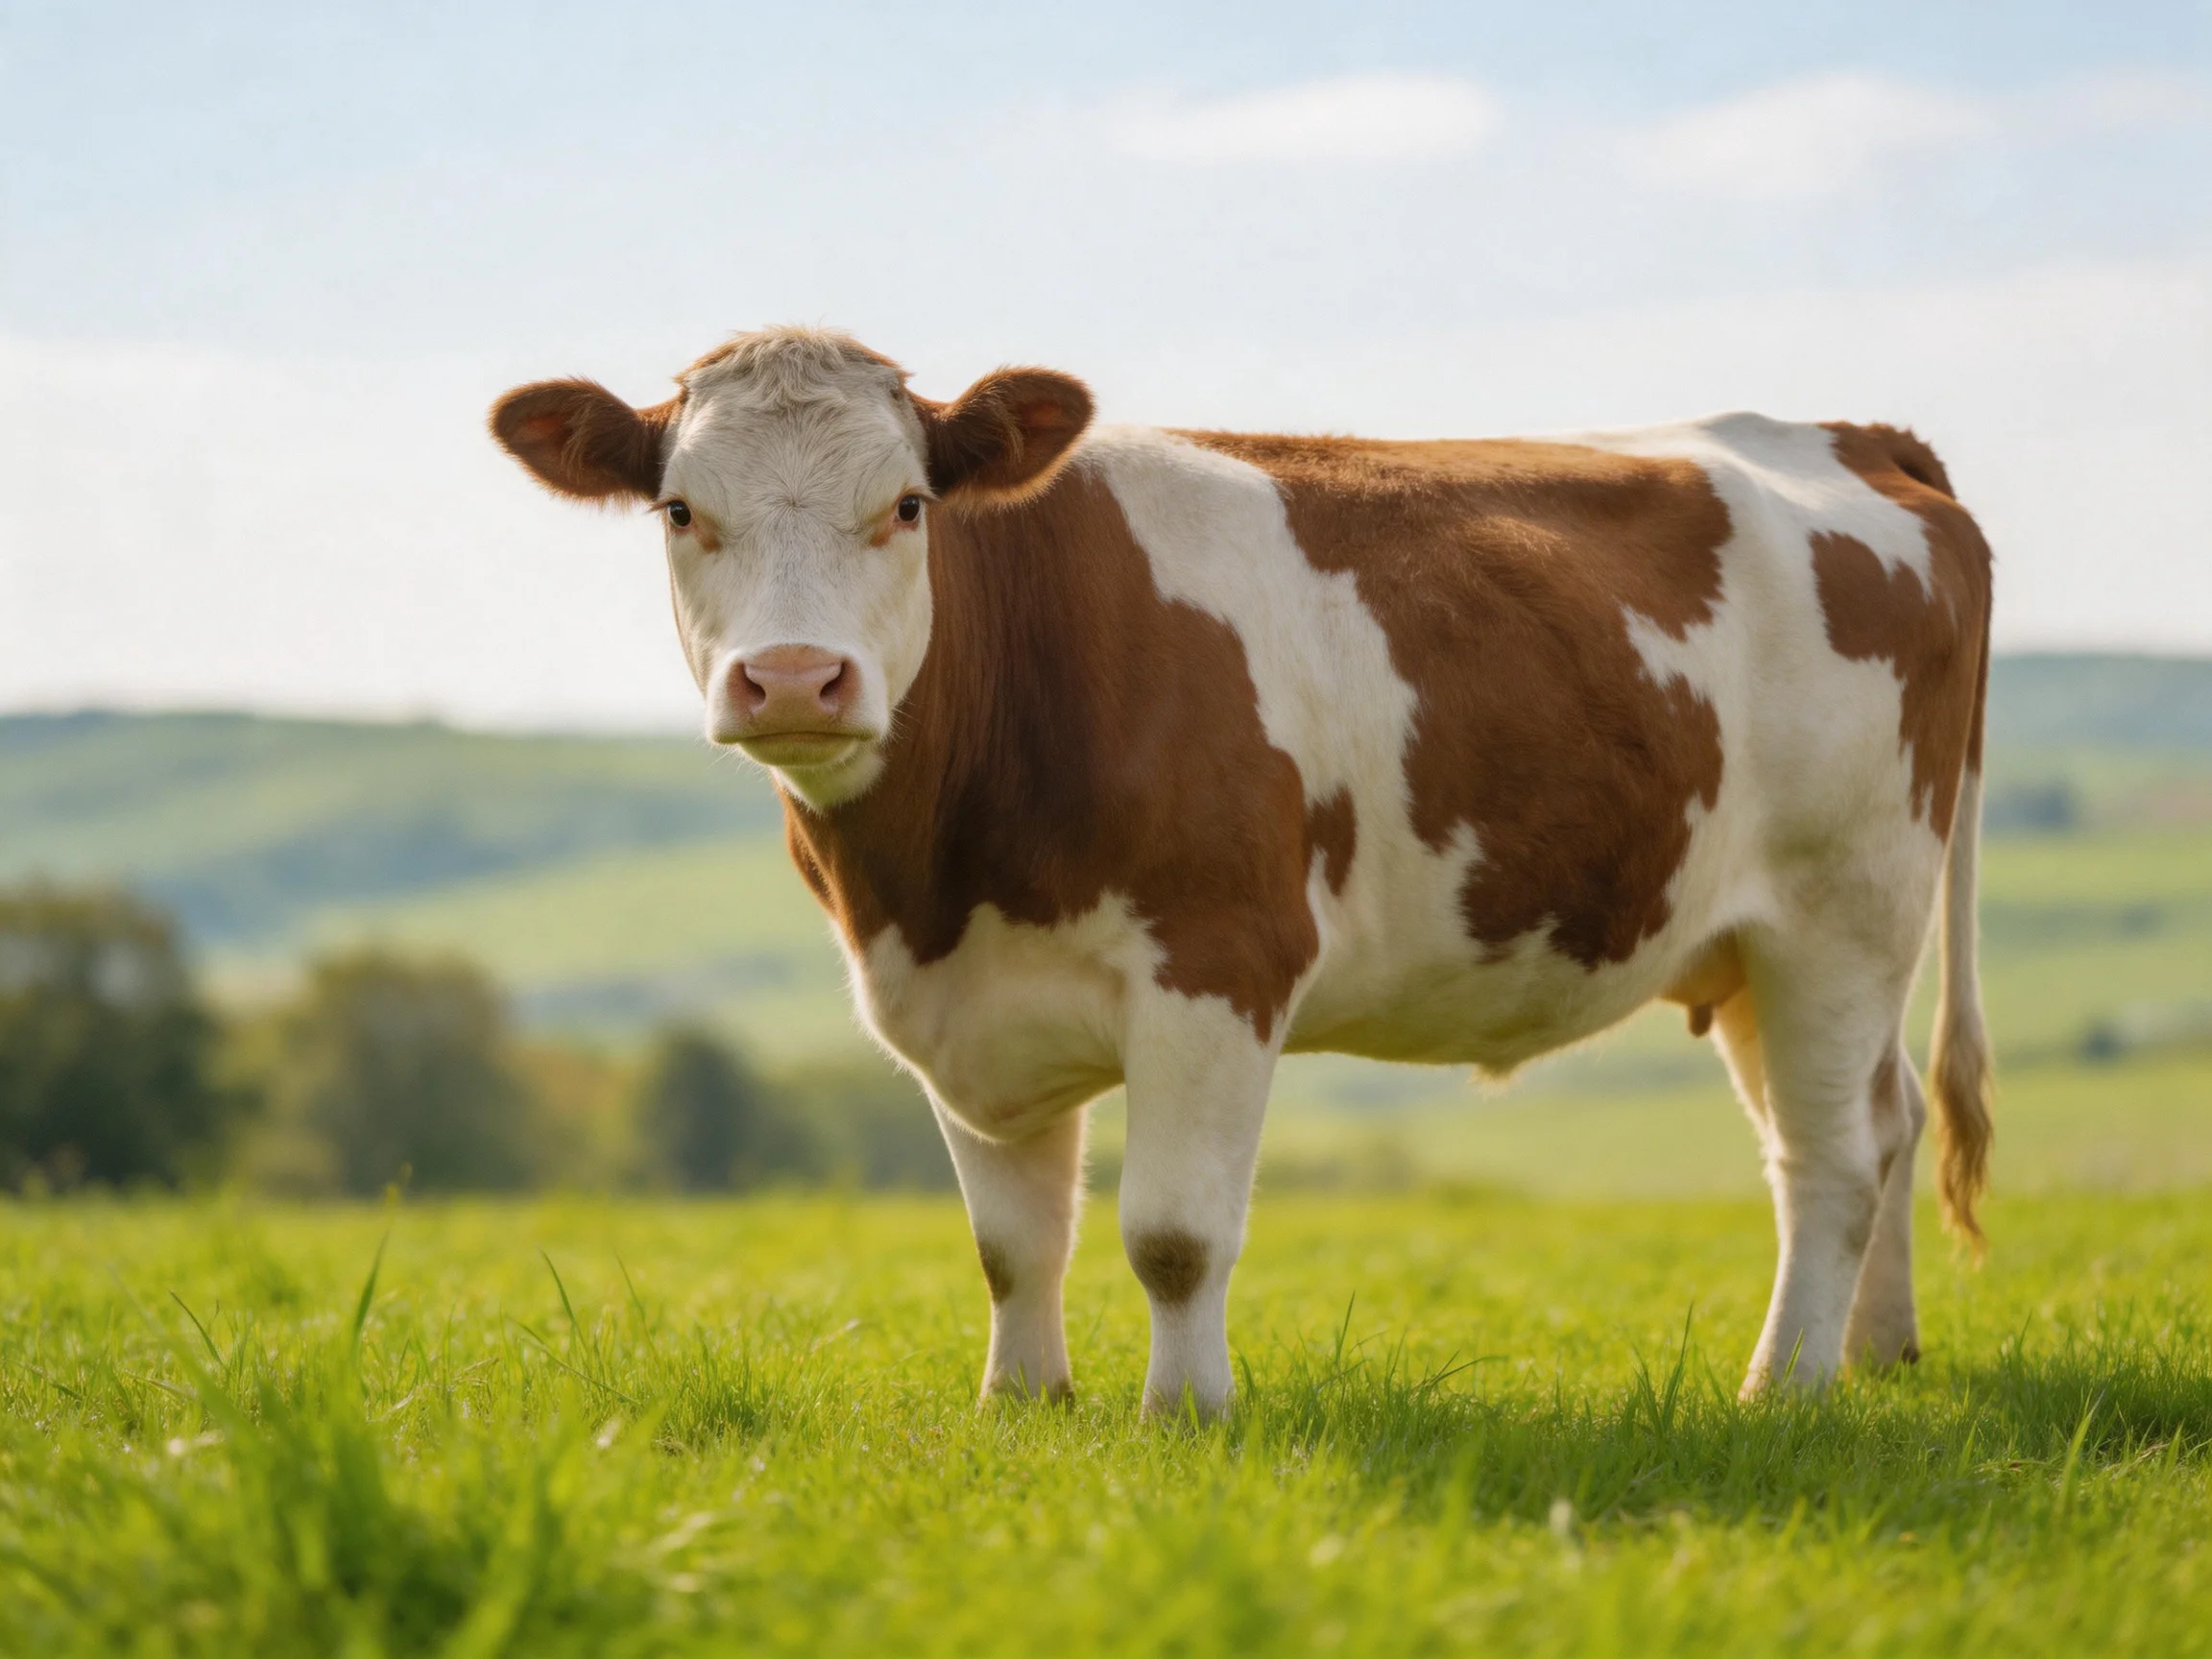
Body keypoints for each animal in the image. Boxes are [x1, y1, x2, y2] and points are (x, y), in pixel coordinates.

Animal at [490, 327, 1994, 1418]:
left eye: (907, 505)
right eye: (680, 510)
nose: (796, 677)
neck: (940, 875)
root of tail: (1849, 434)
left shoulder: (1219, 961)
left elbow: (1171, 1233)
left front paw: (1185, 1415)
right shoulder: (956, 1004)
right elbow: (1013, 1243)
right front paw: (1021, 1407)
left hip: (1844, 910)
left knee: (1831, 1155)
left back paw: (1783, 1388)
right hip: (1742, 946)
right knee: (1877, 1119)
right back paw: (1877, 1356)